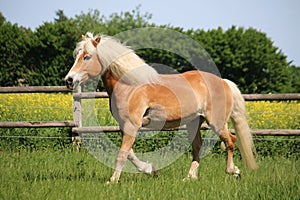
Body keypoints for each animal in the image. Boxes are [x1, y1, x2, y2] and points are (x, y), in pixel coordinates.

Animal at [65, 32, 258, 184]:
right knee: (198, 147)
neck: (130, 85)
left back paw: (234, 171)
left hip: (216, 122)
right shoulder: (124, 126)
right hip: (194, 123)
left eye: (87, 56)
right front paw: (150, 170)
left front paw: (112, 181)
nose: (69, 80)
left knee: (231, 140)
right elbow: (130, 153)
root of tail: (224, 82)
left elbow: (122, 154)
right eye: (76, 55)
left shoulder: (131, 125)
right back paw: (190, 177)